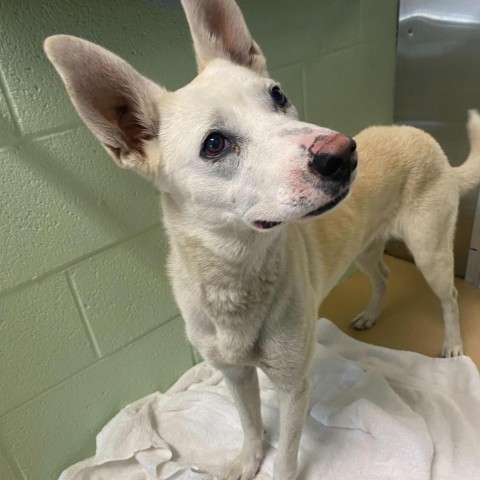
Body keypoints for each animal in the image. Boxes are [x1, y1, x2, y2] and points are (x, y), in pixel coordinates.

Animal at [44, 1, 480, 478]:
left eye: (277, 95)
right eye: (214, 144)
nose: (343, 153)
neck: (236, 273)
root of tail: (423, 136)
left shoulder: (293, 385)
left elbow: (286, 454)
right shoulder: (234, 374)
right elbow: (250, 424)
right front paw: (246, 461)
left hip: (430, 250)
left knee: (449, 297)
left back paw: (453, 345)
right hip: (365, 248)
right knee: (382, 275)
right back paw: (369, 315)